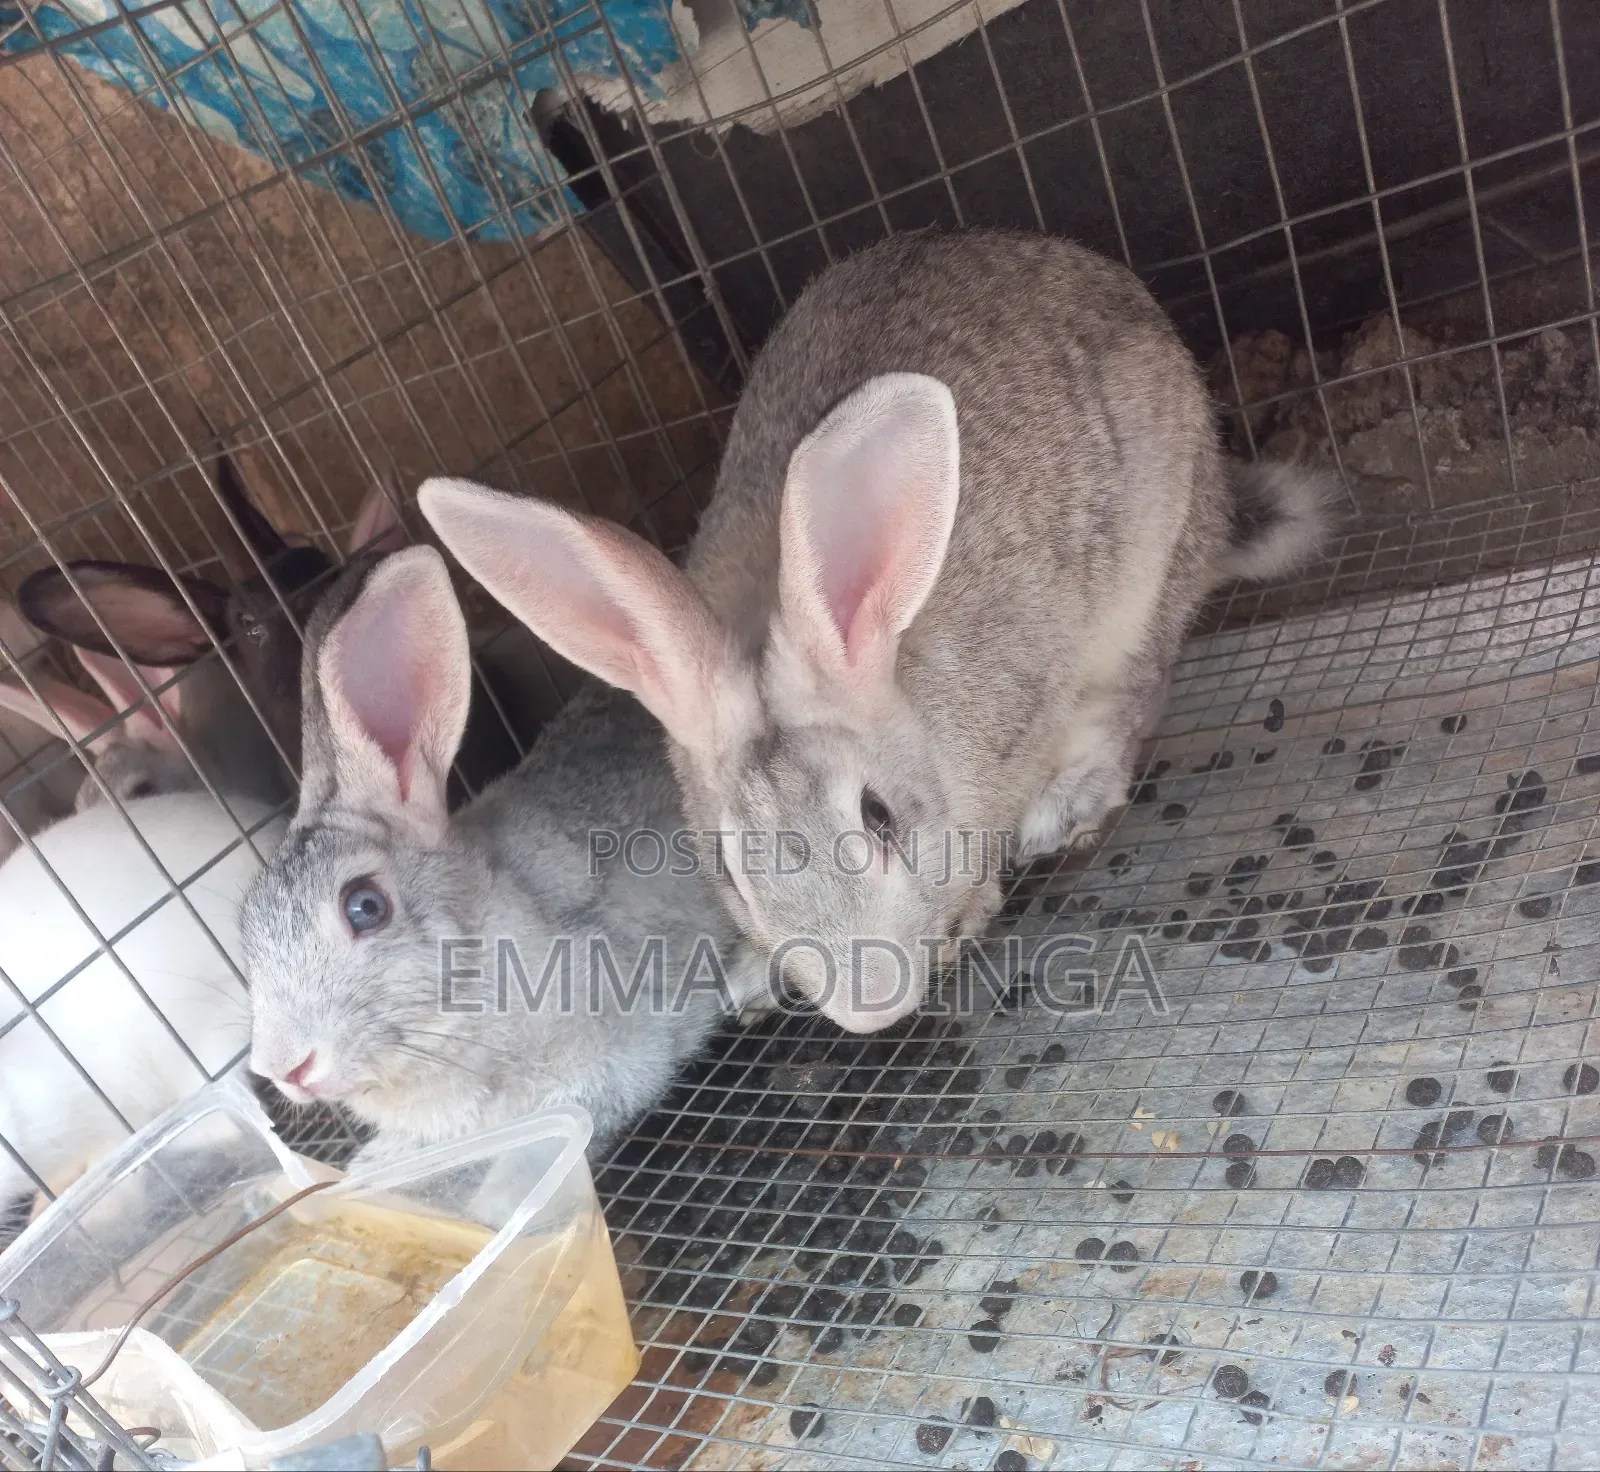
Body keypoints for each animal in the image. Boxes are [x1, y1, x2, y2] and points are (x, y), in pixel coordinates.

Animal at [416, 229, 1336, 1034]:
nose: (870, 1011)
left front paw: (970, 914)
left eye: (881, 818)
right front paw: (753, 977)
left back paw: (1066, 804)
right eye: (728, 869)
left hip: (1146, 576)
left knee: (1136, 691)